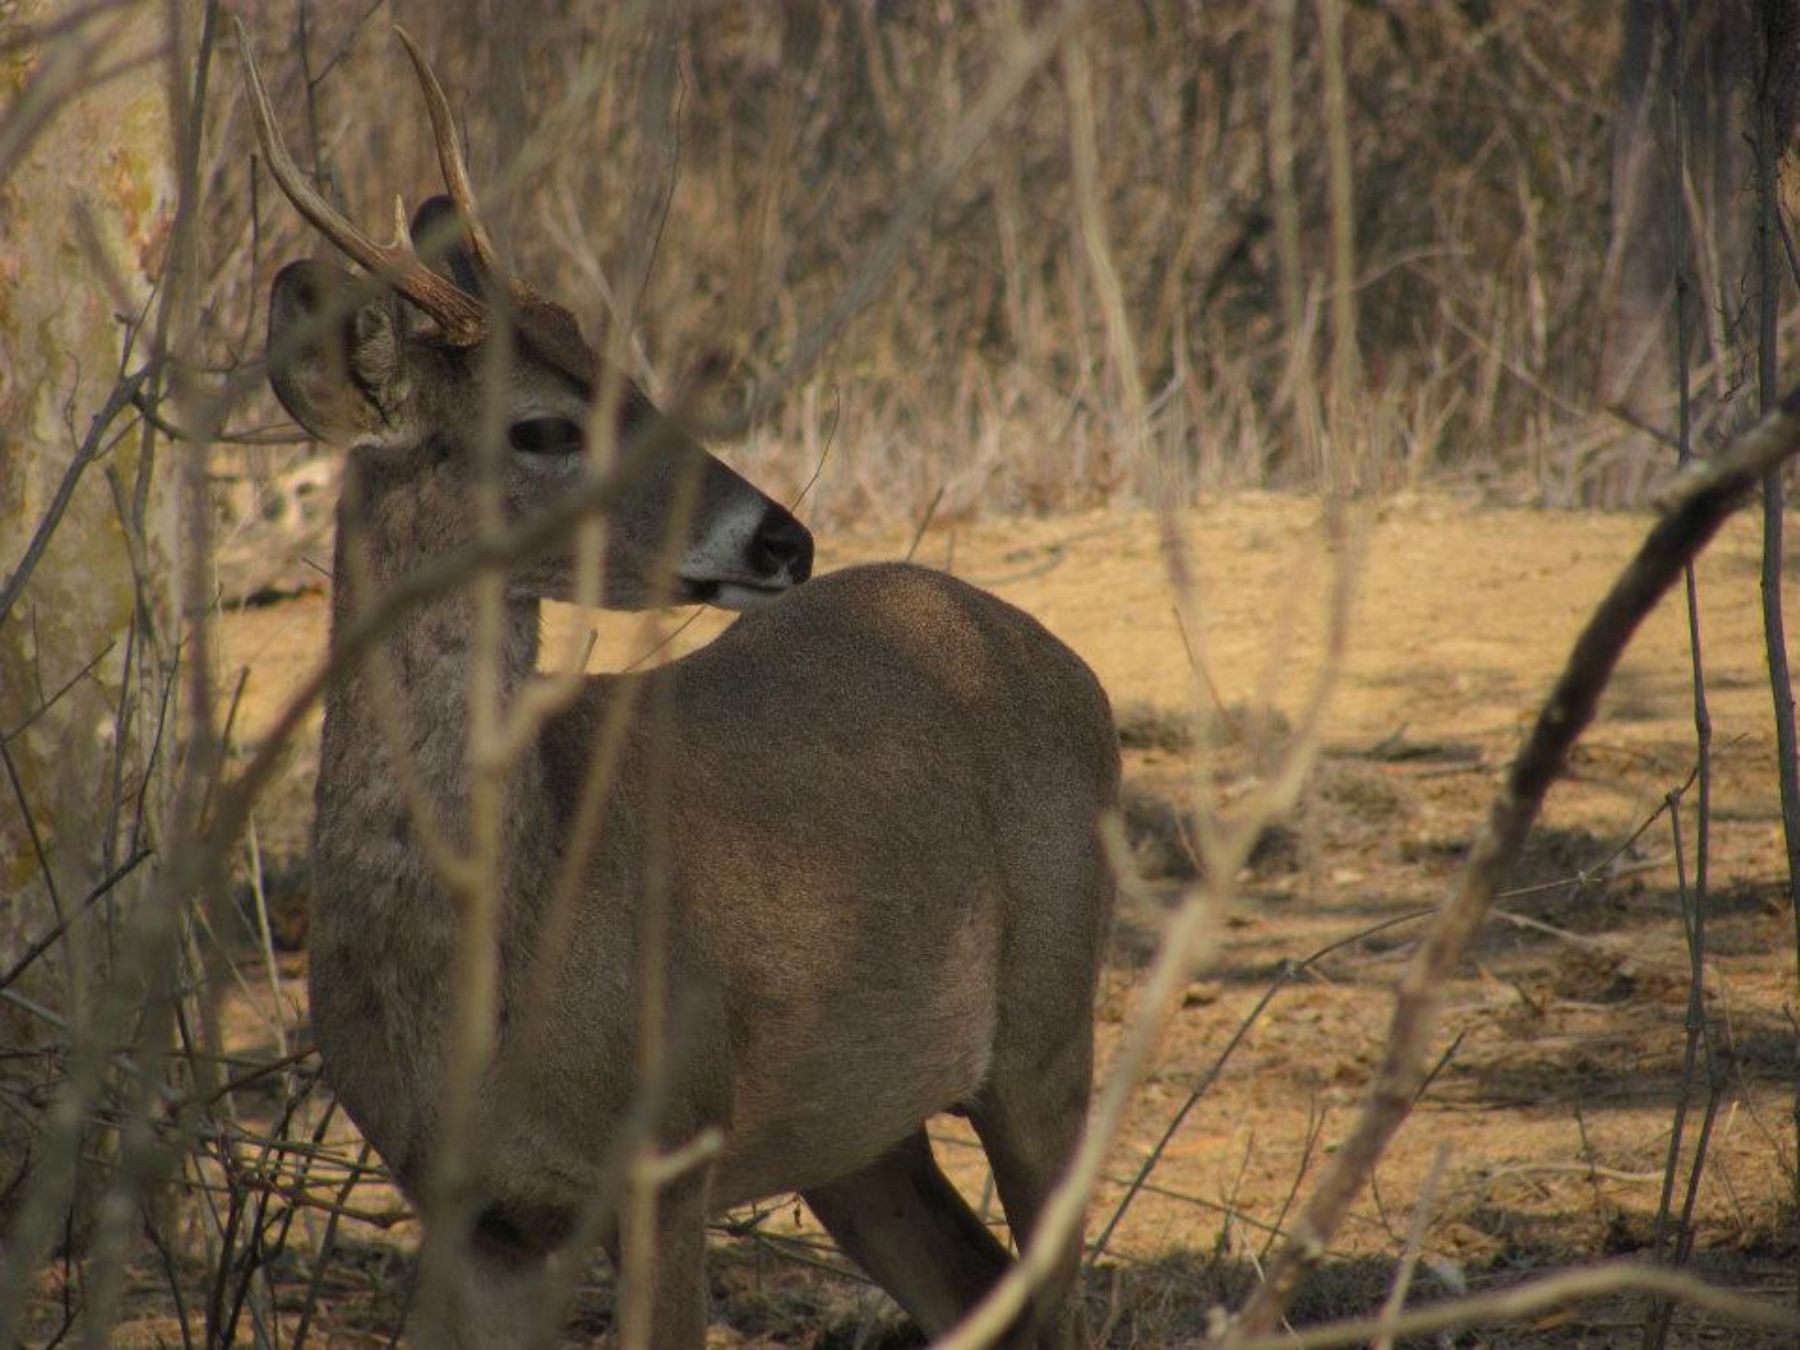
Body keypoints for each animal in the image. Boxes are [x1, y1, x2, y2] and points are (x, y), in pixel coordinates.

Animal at [239, 31, 1108, 1350]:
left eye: (629, 376)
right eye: (544, 426)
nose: (783, 538)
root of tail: (1069, 665)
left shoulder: (671, 1144)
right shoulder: (470, 1210)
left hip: (1050, 1033)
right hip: (856, 1136)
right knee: (971, 1284)